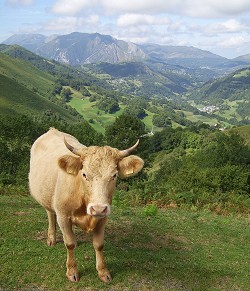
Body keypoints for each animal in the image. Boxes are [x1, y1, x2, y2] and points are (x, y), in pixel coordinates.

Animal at [28, 129, 144, 284]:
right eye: (84, 174)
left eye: (114, 175)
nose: (98, 208)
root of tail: (52, 129)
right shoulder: (63, 216)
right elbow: (69, 243)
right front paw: (72, 271)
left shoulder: (103, 218)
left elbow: (99, 244)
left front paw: (103, 272)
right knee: (50, 215)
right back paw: (51, 239)